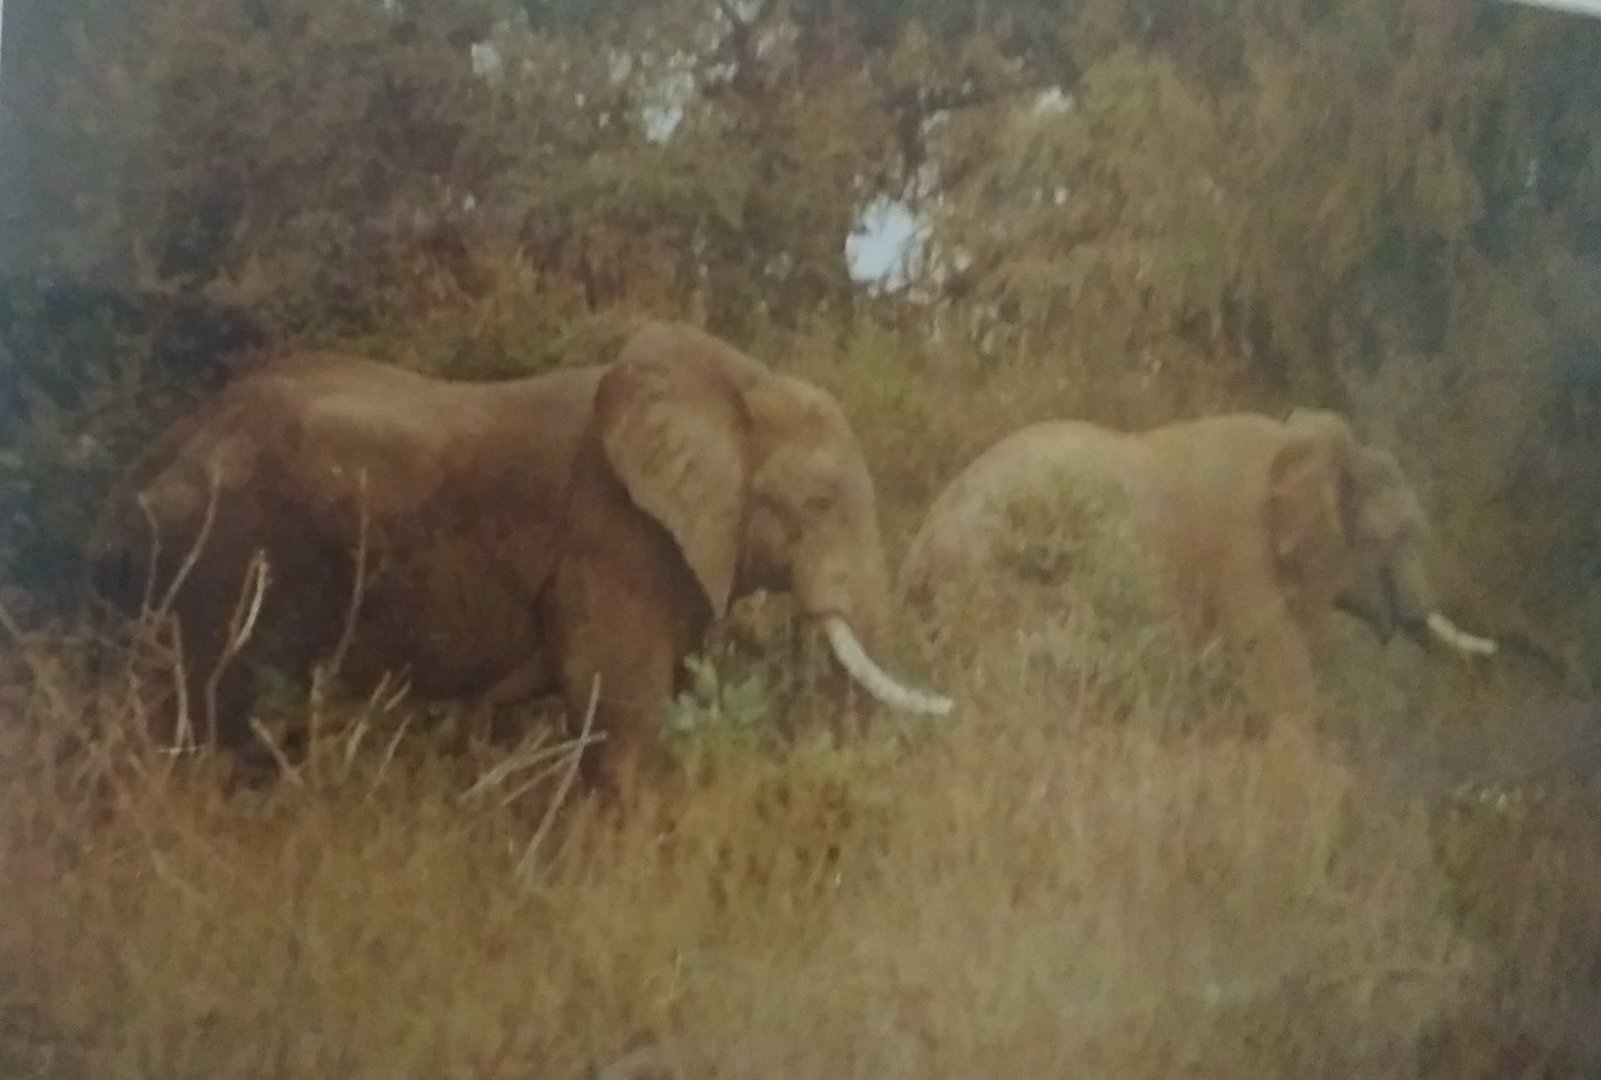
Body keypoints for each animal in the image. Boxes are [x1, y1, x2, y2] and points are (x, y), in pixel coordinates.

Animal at [86, 319, 952, 793]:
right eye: (820, 505)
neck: (736, 381)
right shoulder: (611, 534)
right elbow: (624, 729)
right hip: (220, 564)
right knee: (213, 732)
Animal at [899, 408, 1495, 721]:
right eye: (1401, 534)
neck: (1298, 442)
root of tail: (922, 543)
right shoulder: (1241, 552)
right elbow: (1282, 677)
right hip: (989, 583)